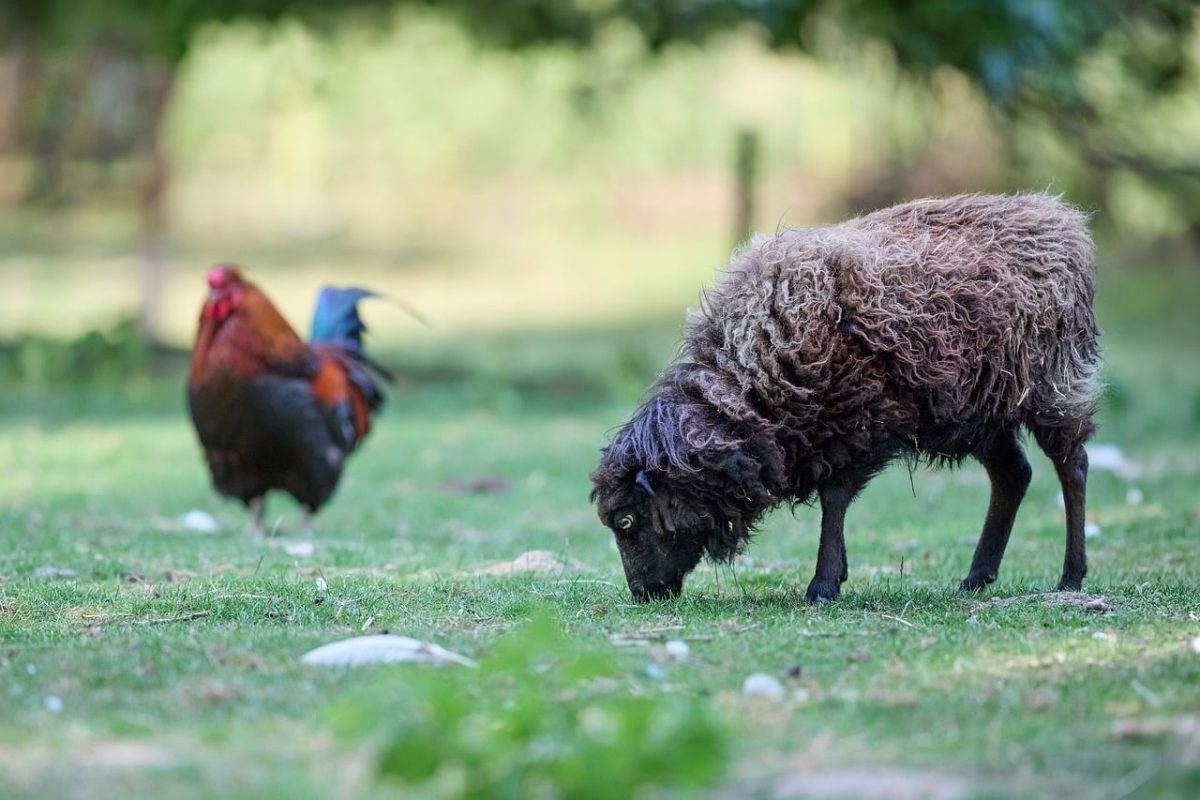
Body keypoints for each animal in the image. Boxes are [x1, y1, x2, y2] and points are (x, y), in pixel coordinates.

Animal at [591, 193, 1100, 602]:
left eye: (627, 521)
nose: (643, 593)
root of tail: (1059, 217)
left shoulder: (857, 423)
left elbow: (833, 502)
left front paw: (823, 584)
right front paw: (833, 577)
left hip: (1056, 383)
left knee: (1071, 466)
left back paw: (1071, 576)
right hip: (981, 409)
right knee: (1014, 475)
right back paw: (977, 577)